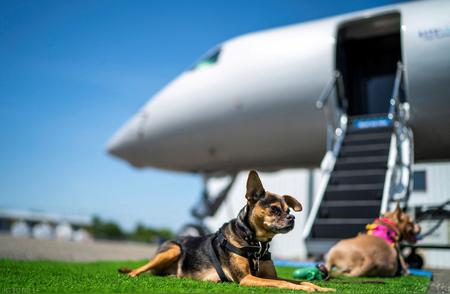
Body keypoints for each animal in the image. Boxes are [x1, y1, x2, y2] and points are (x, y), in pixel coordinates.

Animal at [119, 170, 334, 292]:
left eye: (289, 210)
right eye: (274, 209)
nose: (292, 218)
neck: (255, 244)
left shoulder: (269, 276)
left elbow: (299, 281)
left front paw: (320, 288)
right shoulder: (246, 279)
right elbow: (285, 284)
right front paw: (303, 289)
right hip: (173, 249)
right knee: (139, 270)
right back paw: (132, 274)